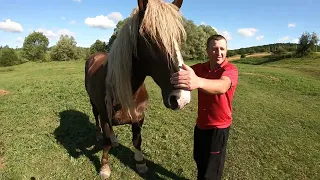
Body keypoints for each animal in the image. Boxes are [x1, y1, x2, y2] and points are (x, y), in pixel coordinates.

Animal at [84, 0, 190, 179]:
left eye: (179, 38)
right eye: (149, 37)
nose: (181, 98)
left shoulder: (139, 117)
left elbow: (137, 140)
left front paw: (141, 163)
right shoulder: (106, 116)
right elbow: (106, 142)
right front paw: (104, 167)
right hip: (94, 103)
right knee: (96, 117)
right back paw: (99, 135)